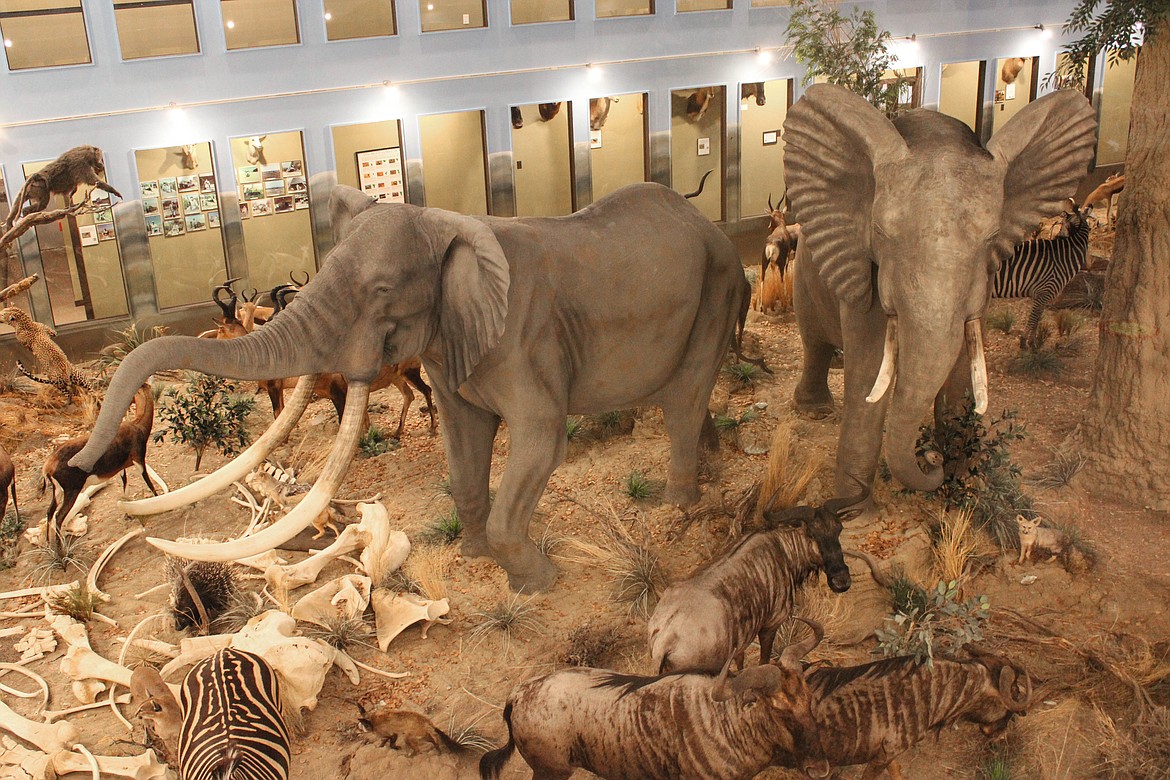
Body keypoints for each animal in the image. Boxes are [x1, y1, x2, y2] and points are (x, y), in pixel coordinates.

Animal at [70, 181, 748, 591]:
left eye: (380, 294)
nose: (78, 465)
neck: (449, 224)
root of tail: (710, 224)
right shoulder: (453, 347)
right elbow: (464, 445)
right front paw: (475, 559)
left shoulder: (524, 339)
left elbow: (540, 438)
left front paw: (538, 585)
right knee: (688, 399)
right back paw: (713, 465)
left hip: (718, 287)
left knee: (684, 399)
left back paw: (677, 505)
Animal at [992, 205, 1090, 348]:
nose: (1090, 206)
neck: (1064, 256)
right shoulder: (1044, 292)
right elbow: (1033, 319)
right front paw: (1026, 342)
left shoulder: (1041, 296)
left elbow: (1036, 319)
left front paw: (1031, 342)